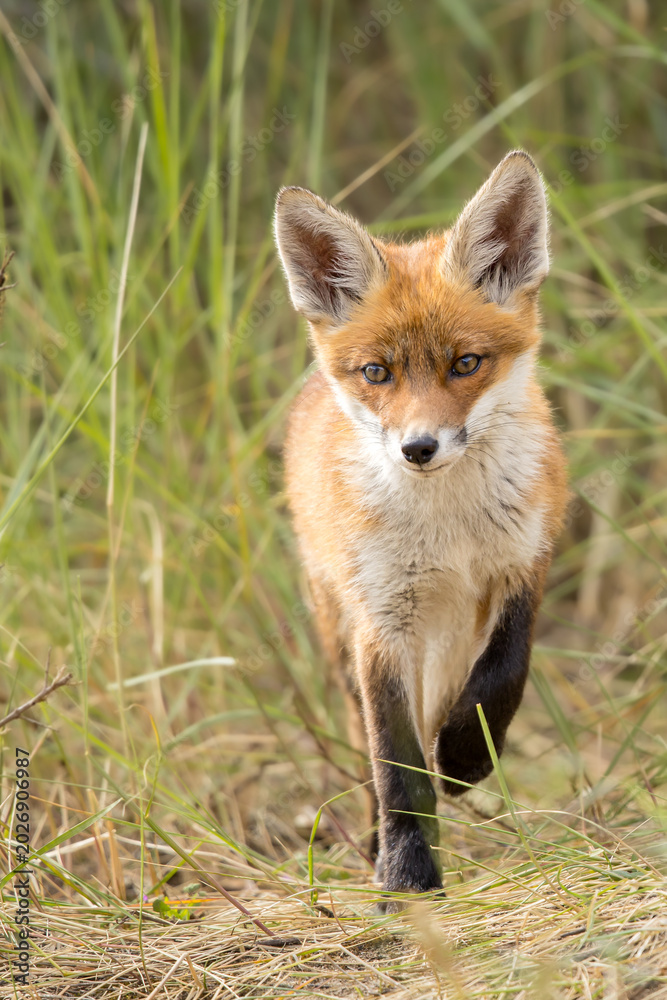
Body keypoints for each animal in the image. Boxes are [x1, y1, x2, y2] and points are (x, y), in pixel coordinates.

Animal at [273, 150, 568, 904]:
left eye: (465, 364)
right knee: (366, 749)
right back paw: (380, 841)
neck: (449, 536)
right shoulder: (382, 620)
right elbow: (395, 764)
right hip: (338, 630)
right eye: (377, 372)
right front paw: (405, 873)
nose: (418, 448)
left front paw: (465, 758)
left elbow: (502, 677)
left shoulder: (523, 565)